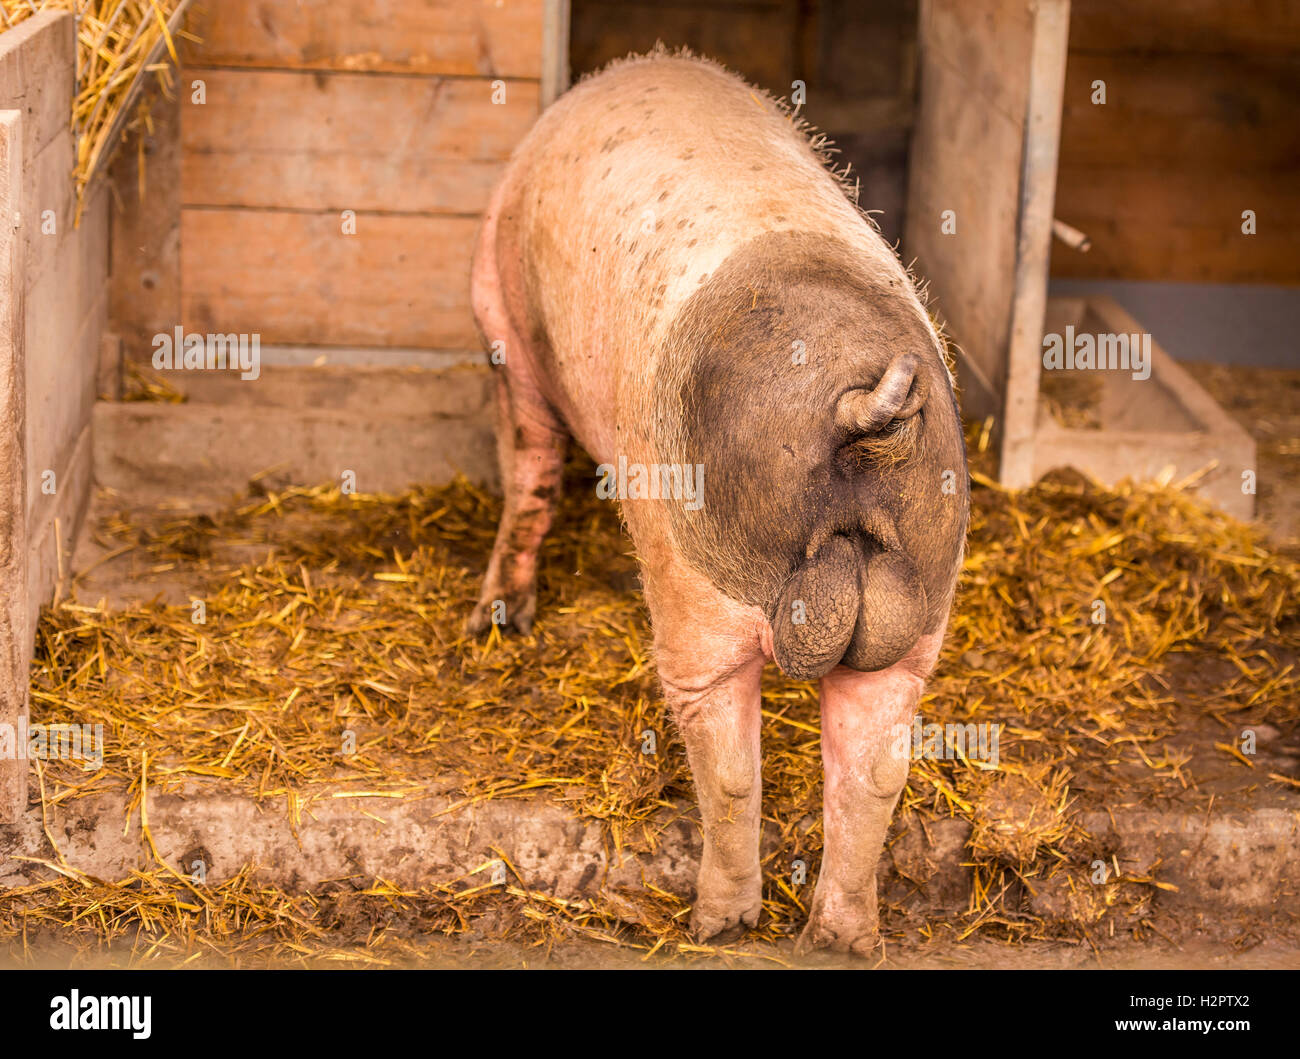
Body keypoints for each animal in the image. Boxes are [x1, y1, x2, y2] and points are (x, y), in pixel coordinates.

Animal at [467, 49, 967, 956]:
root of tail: (861, 413)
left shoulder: (505, 331)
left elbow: (528, 472)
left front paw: (500, 618)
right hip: (926, 598)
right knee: (876, 766)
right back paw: (843, 939)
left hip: (692, 577)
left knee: (727, 755)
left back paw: (717, 921)